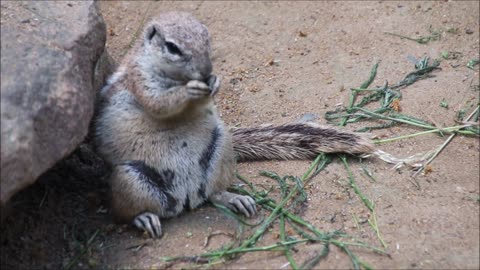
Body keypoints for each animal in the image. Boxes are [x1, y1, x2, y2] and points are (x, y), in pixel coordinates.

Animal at [94, 12, 376, 238]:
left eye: (207, 37)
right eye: (172, 47)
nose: (206, 71)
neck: (177, 78)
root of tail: (187, 198)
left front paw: (215, 82)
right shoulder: (140, 79)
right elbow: (159, 103)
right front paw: (189, 90)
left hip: (220, 149)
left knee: (212, 194)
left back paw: (235, 199)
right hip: (130, 179)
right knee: (126, 211)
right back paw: (144, 218)